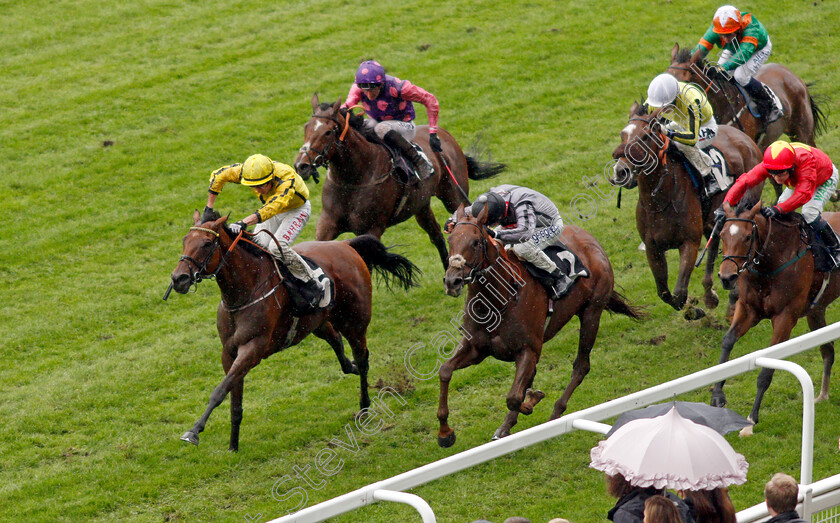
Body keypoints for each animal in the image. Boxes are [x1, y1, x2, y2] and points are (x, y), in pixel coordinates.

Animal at [171, 209, 420, 450]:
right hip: (319, 321)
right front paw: (233, 445)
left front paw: (193, 432)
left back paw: (365, 406)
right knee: (336, 340)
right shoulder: (228, 352)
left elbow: (219, 391)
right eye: (184, 240)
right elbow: (234, 399)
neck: (245, 292)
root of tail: (346, 245)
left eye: (206, 244)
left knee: (363, 358)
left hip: (355, 321)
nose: (178, 278)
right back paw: (351, 368)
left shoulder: (253, 349)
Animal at [296, 94, 506, 272]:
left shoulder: (372, 228)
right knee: (436, 235)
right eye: (306, 127)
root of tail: (444, 134)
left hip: (453, 196)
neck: (354, 180)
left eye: (327, 132)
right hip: (421, 206)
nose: (301, 165)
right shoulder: (327, 224)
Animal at [440, 204, 644, 446]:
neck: (499, 300)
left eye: (475, 242)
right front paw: (445, 433)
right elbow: (445, 371)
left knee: (581, 366)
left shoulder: (528, 349)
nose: (452, 281)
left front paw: (532, 399)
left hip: (592, 313)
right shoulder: (476, 348)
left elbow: (514, 397)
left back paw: (555, 414)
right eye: (450, 239)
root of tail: (592, 241)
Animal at [608, 100, 764, 318]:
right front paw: (696, 305)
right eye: (623, 135)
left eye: (645, 136)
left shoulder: (689, 242)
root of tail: (744, 138)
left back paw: (731, 298)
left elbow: (680, 292)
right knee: (715, 242)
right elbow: (664, 293)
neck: (660, 201)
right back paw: (710, 294)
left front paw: (694, 310)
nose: (621, 172)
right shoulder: (653, 248)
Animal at [712, 199, 836, 436]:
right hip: (816, 311)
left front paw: (750, 421)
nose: (726, 277)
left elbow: (766, 370)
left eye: (747, 237)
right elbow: (727, 342)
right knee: (828, 351)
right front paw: (717, 396)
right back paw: (822, 395)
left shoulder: (785, 317)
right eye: (722, 234)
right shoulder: (748, 308)